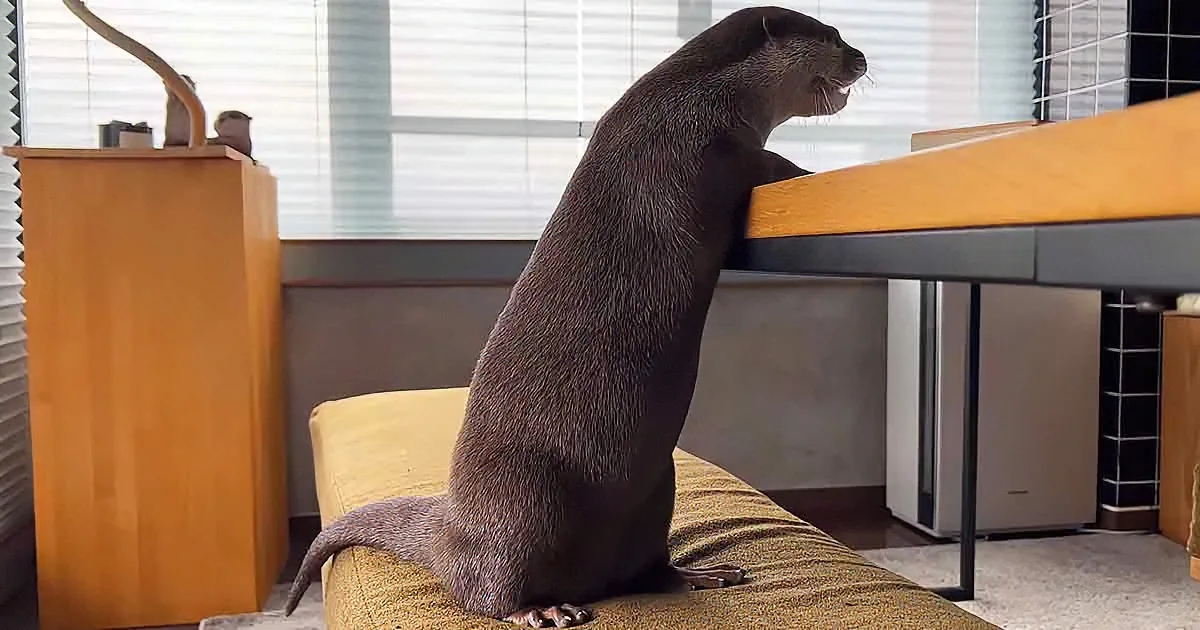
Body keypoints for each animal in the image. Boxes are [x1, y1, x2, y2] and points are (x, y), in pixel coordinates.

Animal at [284, 6, 865, 627]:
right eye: (832, 36)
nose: (862, 58)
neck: (695, 96)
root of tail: (449, 532)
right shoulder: (704, 141)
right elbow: (772, 166)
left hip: (658, 489)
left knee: (644, 570)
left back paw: (697, 574)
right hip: (524, 496)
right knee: (484, 592)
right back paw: (538, 610)